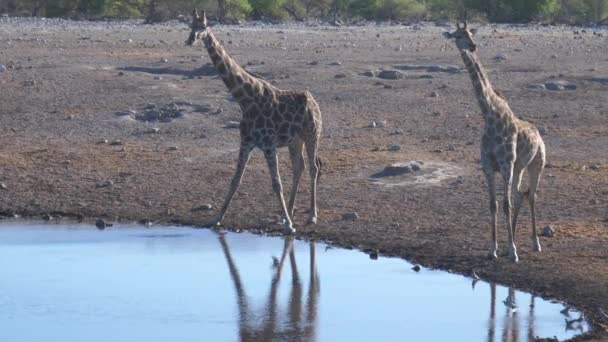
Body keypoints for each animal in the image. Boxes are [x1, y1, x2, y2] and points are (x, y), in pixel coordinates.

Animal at [186, 10, 324, 235]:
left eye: (204, 26)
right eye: (190, 26)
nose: (191, 39)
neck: (246, 100)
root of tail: (314, 101)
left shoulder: (268, 145)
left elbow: (276, 184)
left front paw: (290, 226)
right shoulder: (246, 142)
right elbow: (235, 180)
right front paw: (216, 218)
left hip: (312, 134)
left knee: (313, 168)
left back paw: (311, 215)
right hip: (295, 141)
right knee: (299, 167)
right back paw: (289, 212)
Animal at [442, 21, 548, 262]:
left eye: (470, 33)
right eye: (458, 35)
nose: (472, 46)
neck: (490, 117)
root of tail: (539, 135)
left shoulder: (505, 166)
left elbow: (505, 204)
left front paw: (513, 251)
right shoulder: (489, 167)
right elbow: (494, 205)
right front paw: (494, 249)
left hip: (536, 164)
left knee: (531, 196)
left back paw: (534, 243)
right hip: (519, 167)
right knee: (519, 194)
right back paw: (514, 237)